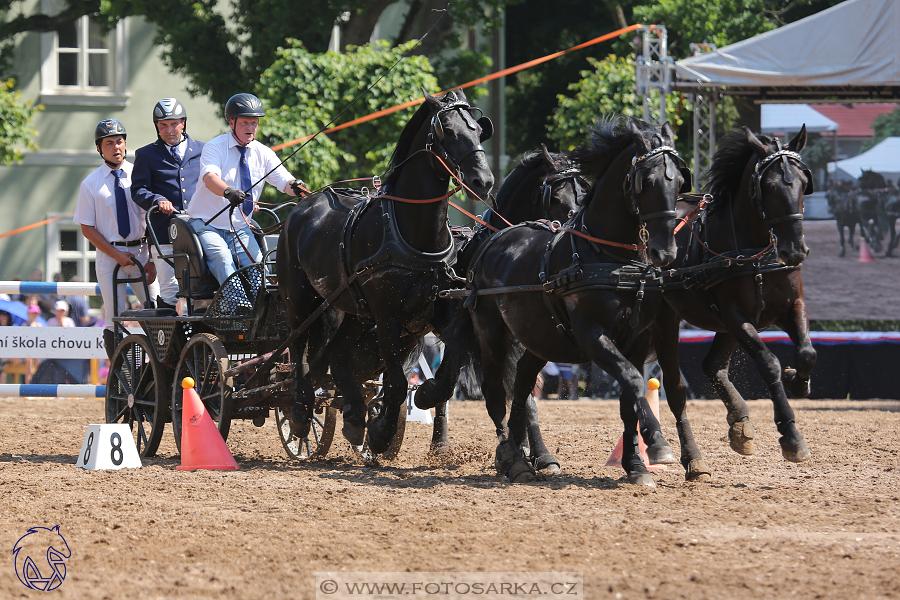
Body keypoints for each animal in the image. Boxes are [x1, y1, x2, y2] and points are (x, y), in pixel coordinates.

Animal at [280, 89, 496, 454]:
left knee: (334, 352)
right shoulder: (387, 316)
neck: (411, 232)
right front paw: (381, 432)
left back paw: (354, 415)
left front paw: (423, 397)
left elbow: (450, 369)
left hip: (352, 309)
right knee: (298, 351)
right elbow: (395, 380)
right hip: (299, 298)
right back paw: (299, 413)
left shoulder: (434, 313)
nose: (484, 181)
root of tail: (302, 207)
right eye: (449, 132)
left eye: (480, 132)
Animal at [440, 117, 684, 488]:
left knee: (522, 387)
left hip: (540, 338)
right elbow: (632, 381)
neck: (610, 258)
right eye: (647, 181)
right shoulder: (591, 335)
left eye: (680, 181)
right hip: (492, 333)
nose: (665, 251)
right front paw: (655, 442)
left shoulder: (637, 339)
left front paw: (636, 464)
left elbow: (629, 395)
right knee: (494, 391)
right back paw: (512, 458)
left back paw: (523, 452)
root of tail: (490, 243)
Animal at [652, 126, 816, 478]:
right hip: (667, 319)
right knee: (676, 385)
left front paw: (797, 381)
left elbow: (808, 353)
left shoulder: (792, 305)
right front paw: (791, 435)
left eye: (803, 182)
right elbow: (768, 362)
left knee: (712, 365)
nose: (795, 250)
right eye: (769, 186)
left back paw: (740, 422)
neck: (754, 251)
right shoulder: (735, 315)